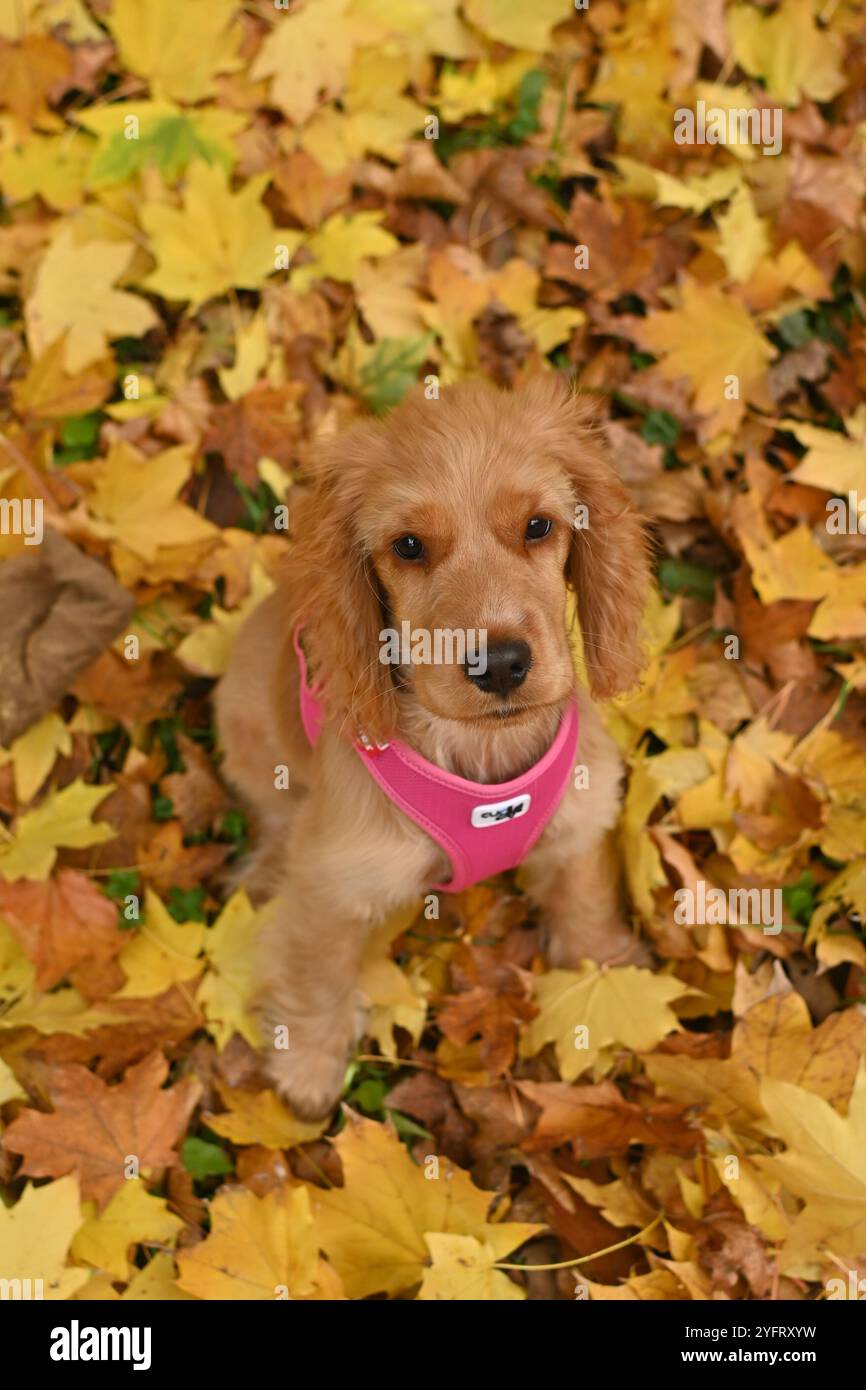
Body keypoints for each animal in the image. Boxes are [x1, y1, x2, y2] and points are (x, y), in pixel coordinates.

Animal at [216, 372, 650, 1117]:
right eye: (409, 546)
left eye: (539, 526)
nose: (500, 664)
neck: (478, 753)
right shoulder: (334, 879)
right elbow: (316, 966)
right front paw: (309, 1065)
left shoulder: (578, 824)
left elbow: (586, 906)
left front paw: (604, 979)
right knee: (274, 814)